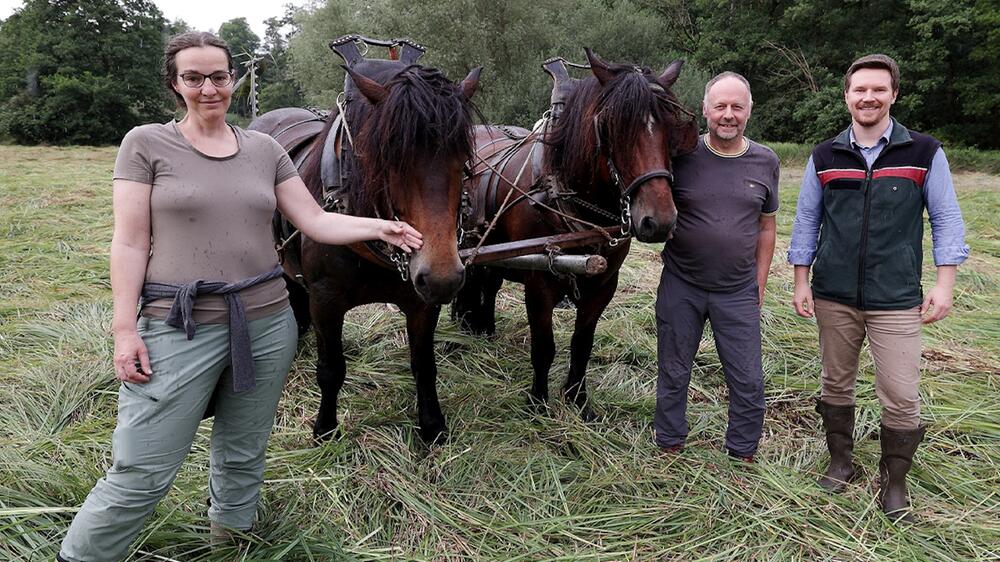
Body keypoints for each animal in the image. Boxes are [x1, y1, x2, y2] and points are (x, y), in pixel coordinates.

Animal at [254, 58, 480, 442]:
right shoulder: (325, 299)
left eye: (463, 156)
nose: (442, 278)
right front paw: (325, 430)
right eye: (389, 156)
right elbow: (331, 368)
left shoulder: (422, 302)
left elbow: (424, 365)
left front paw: (432, 425)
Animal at [454, 50, 696, 418]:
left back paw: (485, 328)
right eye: (611, 126)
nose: (660, 221)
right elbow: (544, 345)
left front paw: (578, 399)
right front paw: (538, 403)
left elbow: (582, 343)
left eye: (672, 127)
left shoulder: (603, 284)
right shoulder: (539, 282)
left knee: (489, 284)